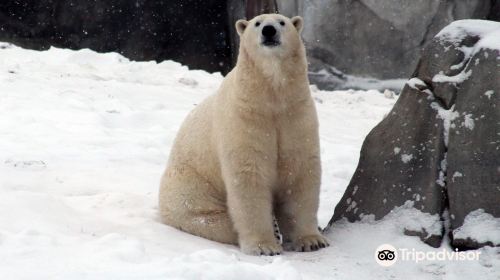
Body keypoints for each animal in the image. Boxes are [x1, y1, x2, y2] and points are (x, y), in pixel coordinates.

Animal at [157, 13, 328, 256]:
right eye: (257, 23)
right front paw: (264, 246)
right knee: (212, 220)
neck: (270, 96)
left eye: (282, 22)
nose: (269, 31)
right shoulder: (244, 118)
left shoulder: (296, 115)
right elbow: (249, 175)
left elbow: (298, 172)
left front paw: (312, 240)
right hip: (191, 190)